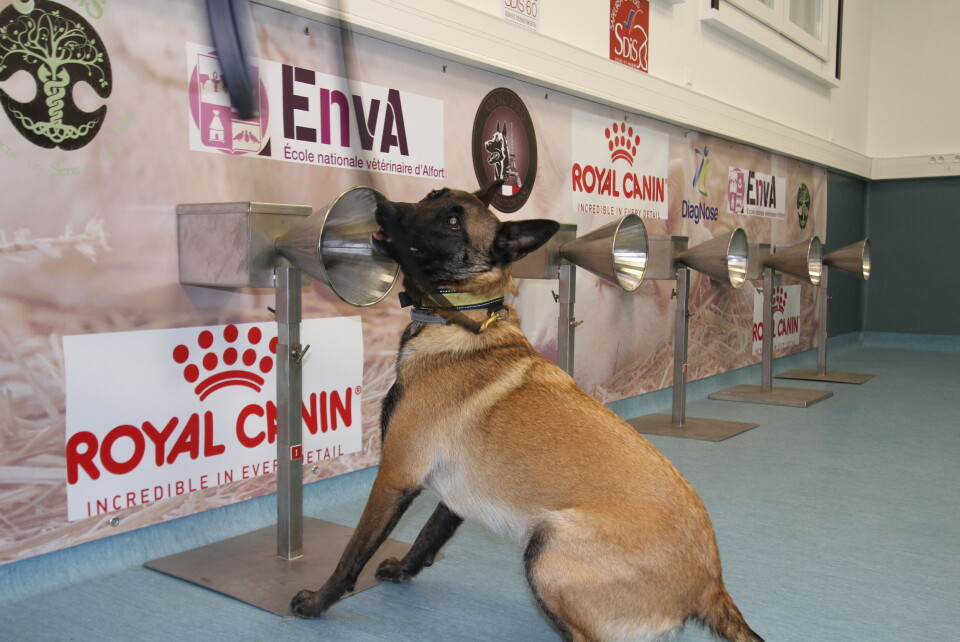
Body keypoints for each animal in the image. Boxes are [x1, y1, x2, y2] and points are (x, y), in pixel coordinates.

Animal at [292, 181, 764, 640]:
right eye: (433, 196)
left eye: (452, 223)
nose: (381, 203)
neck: (465, 317)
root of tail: (711, 585)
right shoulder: (455, 492)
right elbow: (428, 536)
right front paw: (403, 569)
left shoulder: (395, 476)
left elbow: (353, 552)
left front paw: (317, 602)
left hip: (548, 548)